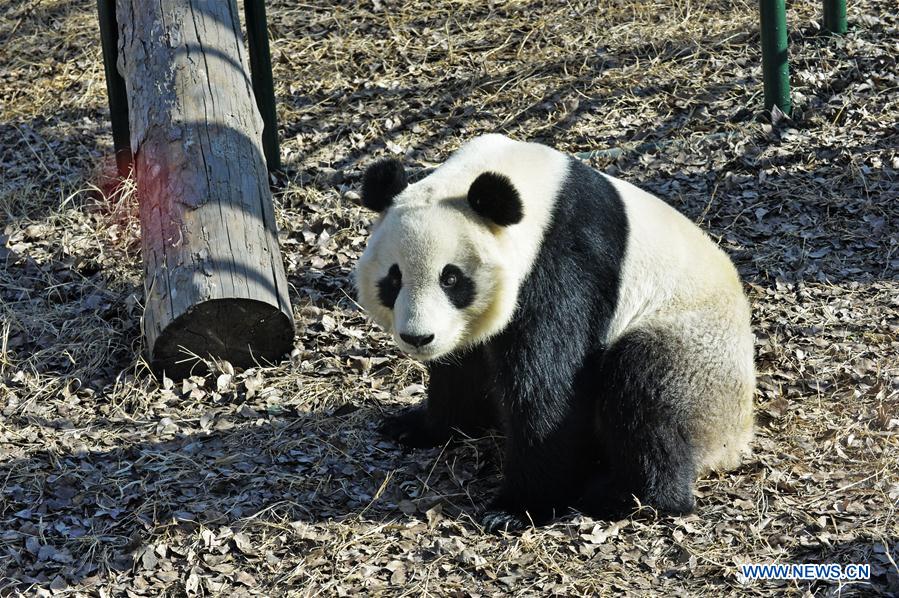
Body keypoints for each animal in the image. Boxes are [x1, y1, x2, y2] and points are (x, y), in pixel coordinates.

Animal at [356, 134, 756, 532]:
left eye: (451, 278)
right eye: (393, 279)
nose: (418, 338)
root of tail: (735, 442)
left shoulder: (566, 259)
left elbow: (548, 386)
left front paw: (518, 507)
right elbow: (463, 369)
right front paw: (419, 426)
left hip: (696, 355)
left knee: (648, 393)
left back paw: (627, 496)